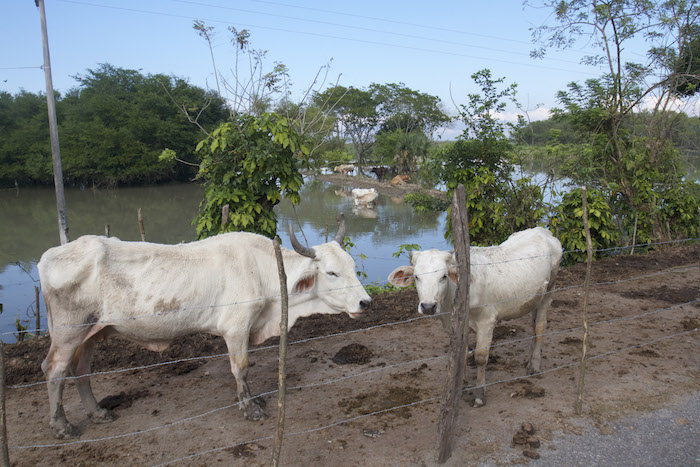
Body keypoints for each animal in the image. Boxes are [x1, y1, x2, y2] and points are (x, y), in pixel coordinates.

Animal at [37, 214, 372, 440]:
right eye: (331, 273)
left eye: (352, 267)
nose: (365, 303)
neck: (264, 270)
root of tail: (51, 254)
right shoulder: (236, 328)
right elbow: (241, 368)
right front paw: (250, 408)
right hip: (68, 331)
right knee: (54, 370)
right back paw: (61, 425)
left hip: (90, 333)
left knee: (80, 369)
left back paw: (97, 412)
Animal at [388, 229, 564, 408]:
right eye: (417, 277)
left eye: (444, 276)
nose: (428, 306)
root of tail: (542, 230)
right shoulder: (458, 326)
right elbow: (463, 353)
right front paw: (461, 384)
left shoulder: (487, 322)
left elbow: (480, 357)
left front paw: (479, 394)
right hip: (535, 298)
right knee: (534, 325)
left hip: (548, 292)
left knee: (540, 326)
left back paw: (534, 365)